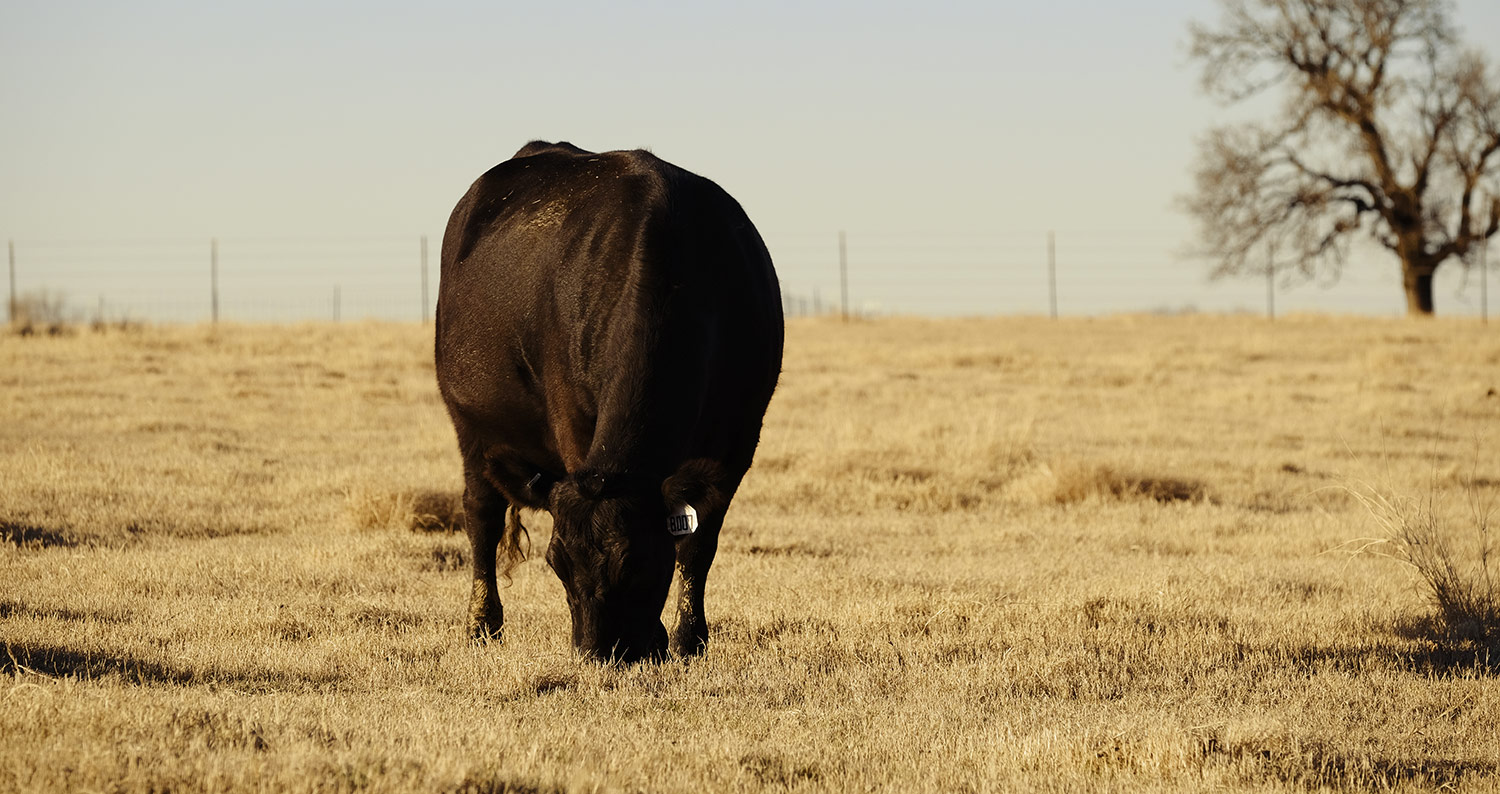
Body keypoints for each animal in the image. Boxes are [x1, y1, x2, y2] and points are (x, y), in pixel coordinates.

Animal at [434, 141, 784, 663]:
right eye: (557, 564)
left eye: (636, 562)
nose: (596, 653)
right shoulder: (572, 425)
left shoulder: (736, 442)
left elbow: (698, 544)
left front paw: (688, 639)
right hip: (472, 429)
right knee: (482, 517)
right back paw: (482, 624)